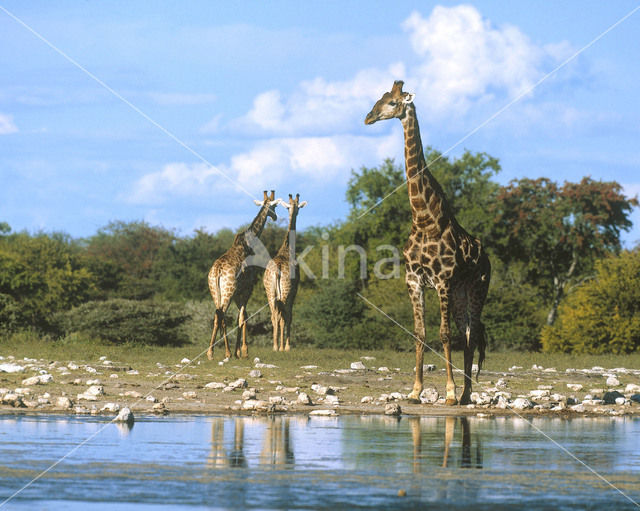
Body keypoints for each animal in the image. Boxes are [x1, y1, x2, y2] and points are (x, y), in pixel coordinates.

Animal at [205, 190, 276, 362]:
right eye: (275, 206)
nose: (275, 217)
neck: (248, 244)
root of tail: (217, 271)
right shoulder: (246, 290)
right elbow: (244, 317)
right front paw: (244, 351)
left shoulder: (239, 293)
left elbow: (240, 318)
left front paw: (239, 351)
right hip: (228, 292)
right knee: (222, 315)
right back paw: (227, 352)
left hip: (215, 291)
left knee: (217, 315)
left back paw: (211, 352)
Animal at [262, 193, 308, 352]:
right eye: (297, 207)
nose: (295, 211)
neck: (288, 249)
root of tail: (278, 270)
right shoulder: (294, 292)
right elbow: (289, 316)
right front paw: (287, 346)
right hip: (286, 293)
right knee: (283, 315)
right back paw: (281, 347)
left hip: (270, 293)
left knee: (273, 315)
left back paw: (275, 346)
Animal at [364, 81, 490, 408]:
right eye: (379, 98)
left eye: (393, 103)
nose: (368, 117)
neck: (423, 219)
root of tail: (487, 258)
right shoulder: (414, 280)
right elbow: (419, 333)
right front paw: (415, 391)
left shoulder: (442, 281)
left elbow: (443, 335)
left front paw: (449, 393)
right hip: (459, 295)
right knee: (467, 333)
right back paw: (466, 393)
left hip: (476, 290)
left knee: (471, 334)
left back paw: (465, 394)